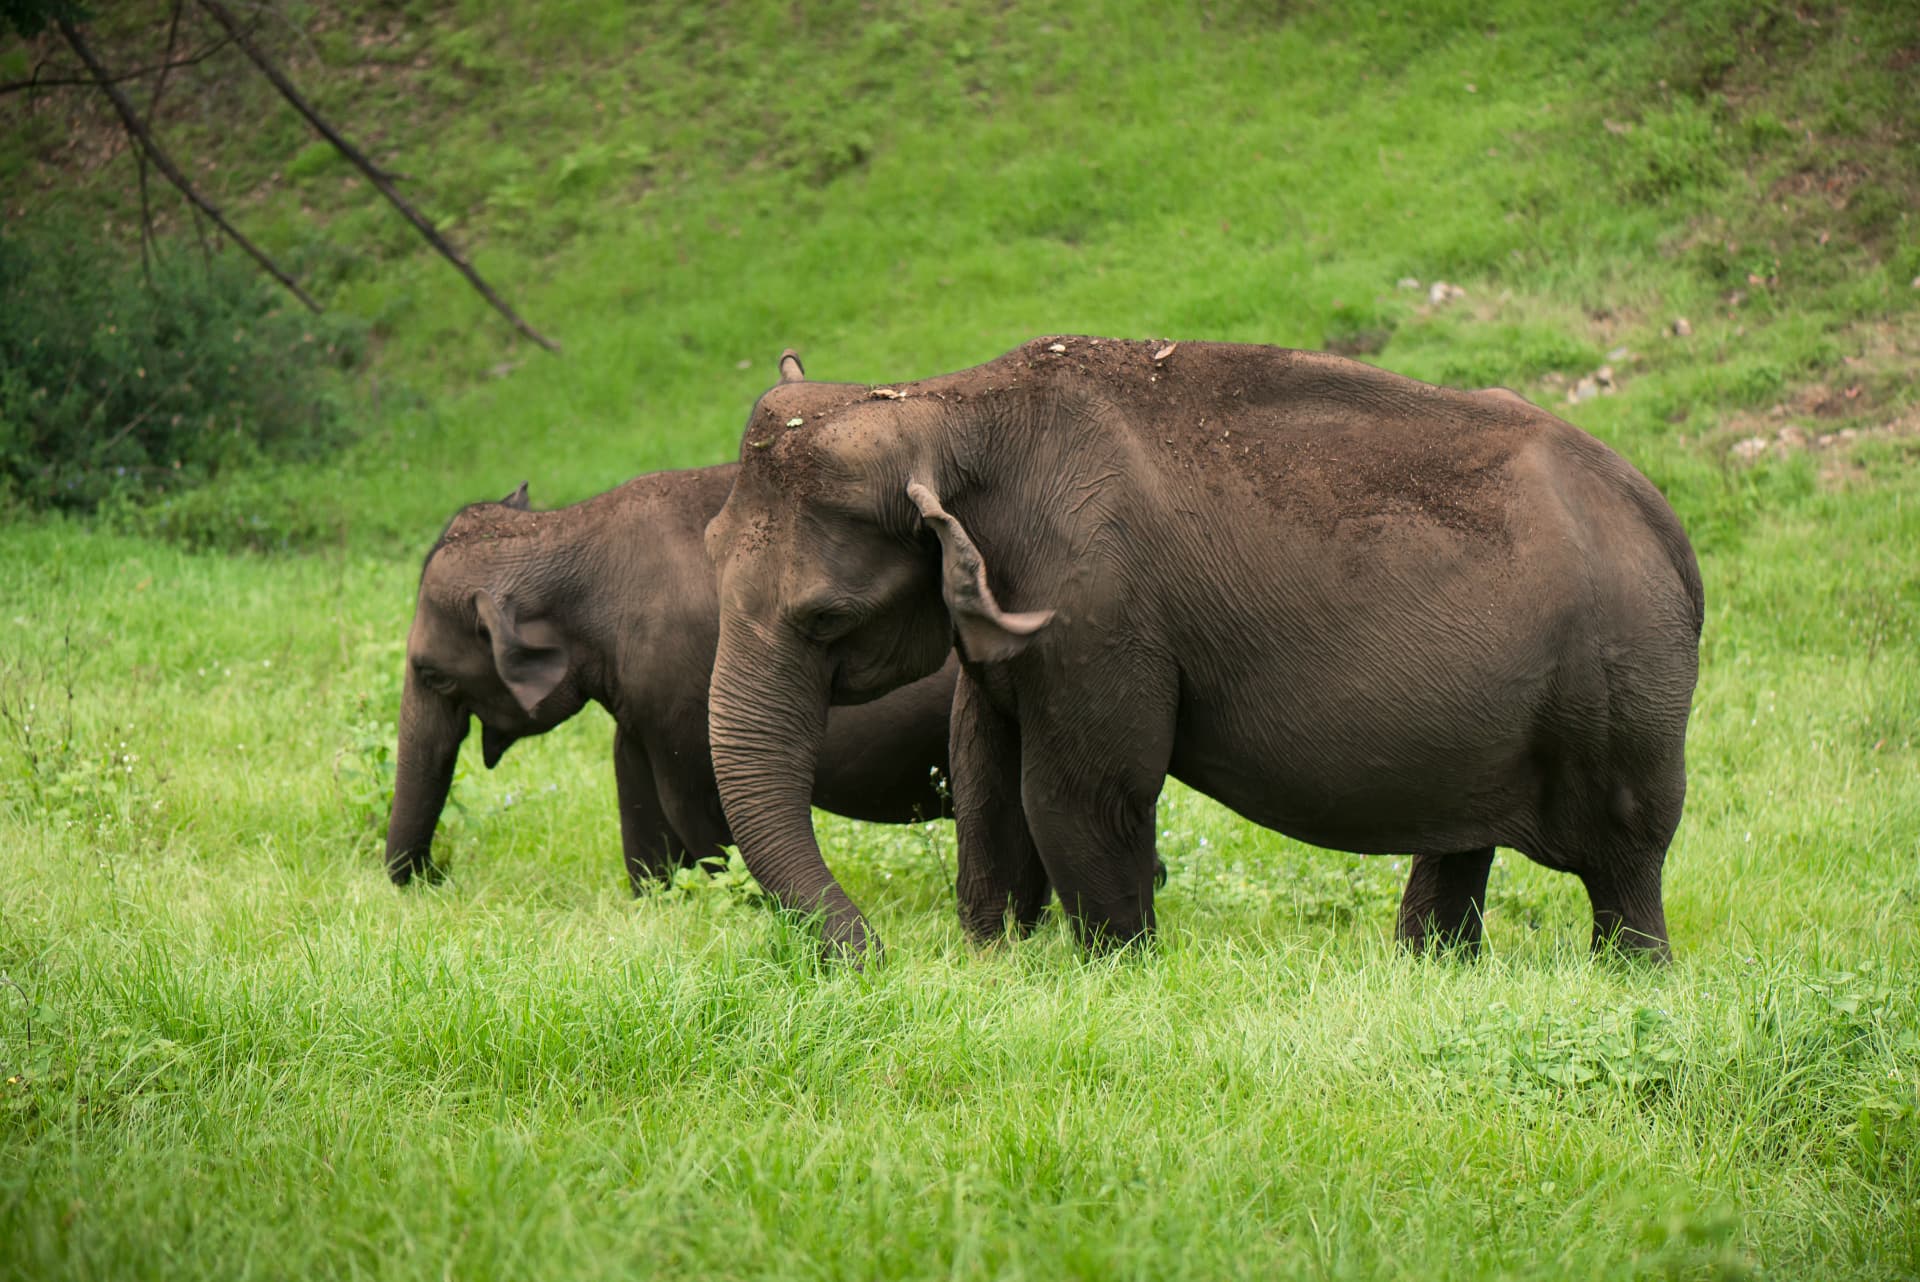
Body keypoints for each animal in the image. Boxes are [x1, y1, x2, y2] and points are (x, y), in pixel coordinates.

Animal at [386, 461, 957, 892]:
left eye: (432, 674)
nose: (439, 873)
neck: (567, 530)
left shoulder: (682, 691)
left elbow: (697, 813)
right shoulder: (642, 704)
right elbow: (636, 794)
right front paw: (658, 901)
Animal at [702, 337, 1703, 960]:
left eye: (826, 618)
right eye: (709, 550)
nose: (872, 956)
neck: (945, 407)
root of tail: (1667, 523)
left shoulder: (1099, 608)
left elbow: (1083, 796)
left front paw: (1117, 970)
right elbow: (985, 786)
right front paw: (994, 960)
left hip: (1626, 694)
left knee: (1626, 861)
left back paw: (1632, 978)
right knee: (1462, 845)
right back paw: (1432, 968)